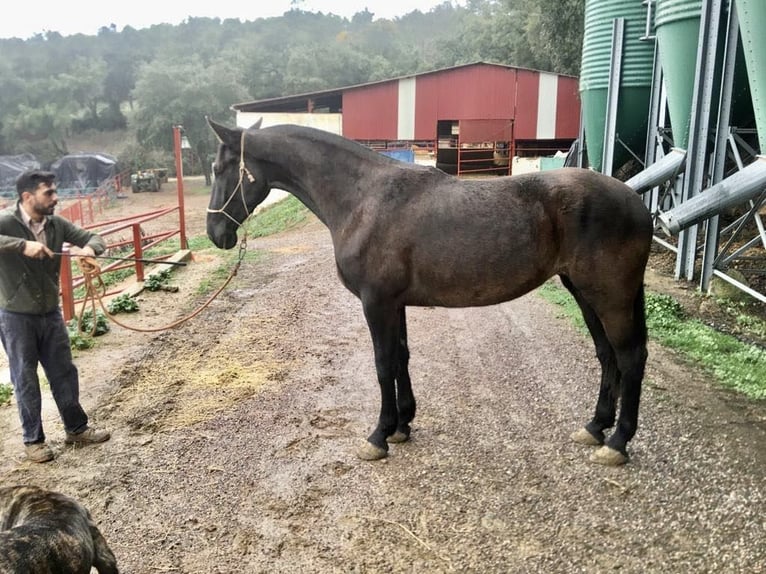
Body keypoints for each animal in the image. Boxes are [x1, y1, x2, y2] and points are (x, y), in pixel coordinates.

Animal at [206, 120, 656, 468]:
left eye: (221, 167)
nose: (215, 233)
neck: (363, 198)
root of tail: (635, 200)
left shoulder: (376, 302)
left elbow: (383, 363)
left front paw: (379, 435)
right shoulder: (394, 303)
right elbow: (401, 358)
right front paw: (402, 425)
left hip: (610, 296)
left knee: (630, 357)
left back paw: (618, 443)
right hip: (584, 292)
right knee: (607, 356)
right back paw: (595, 428)